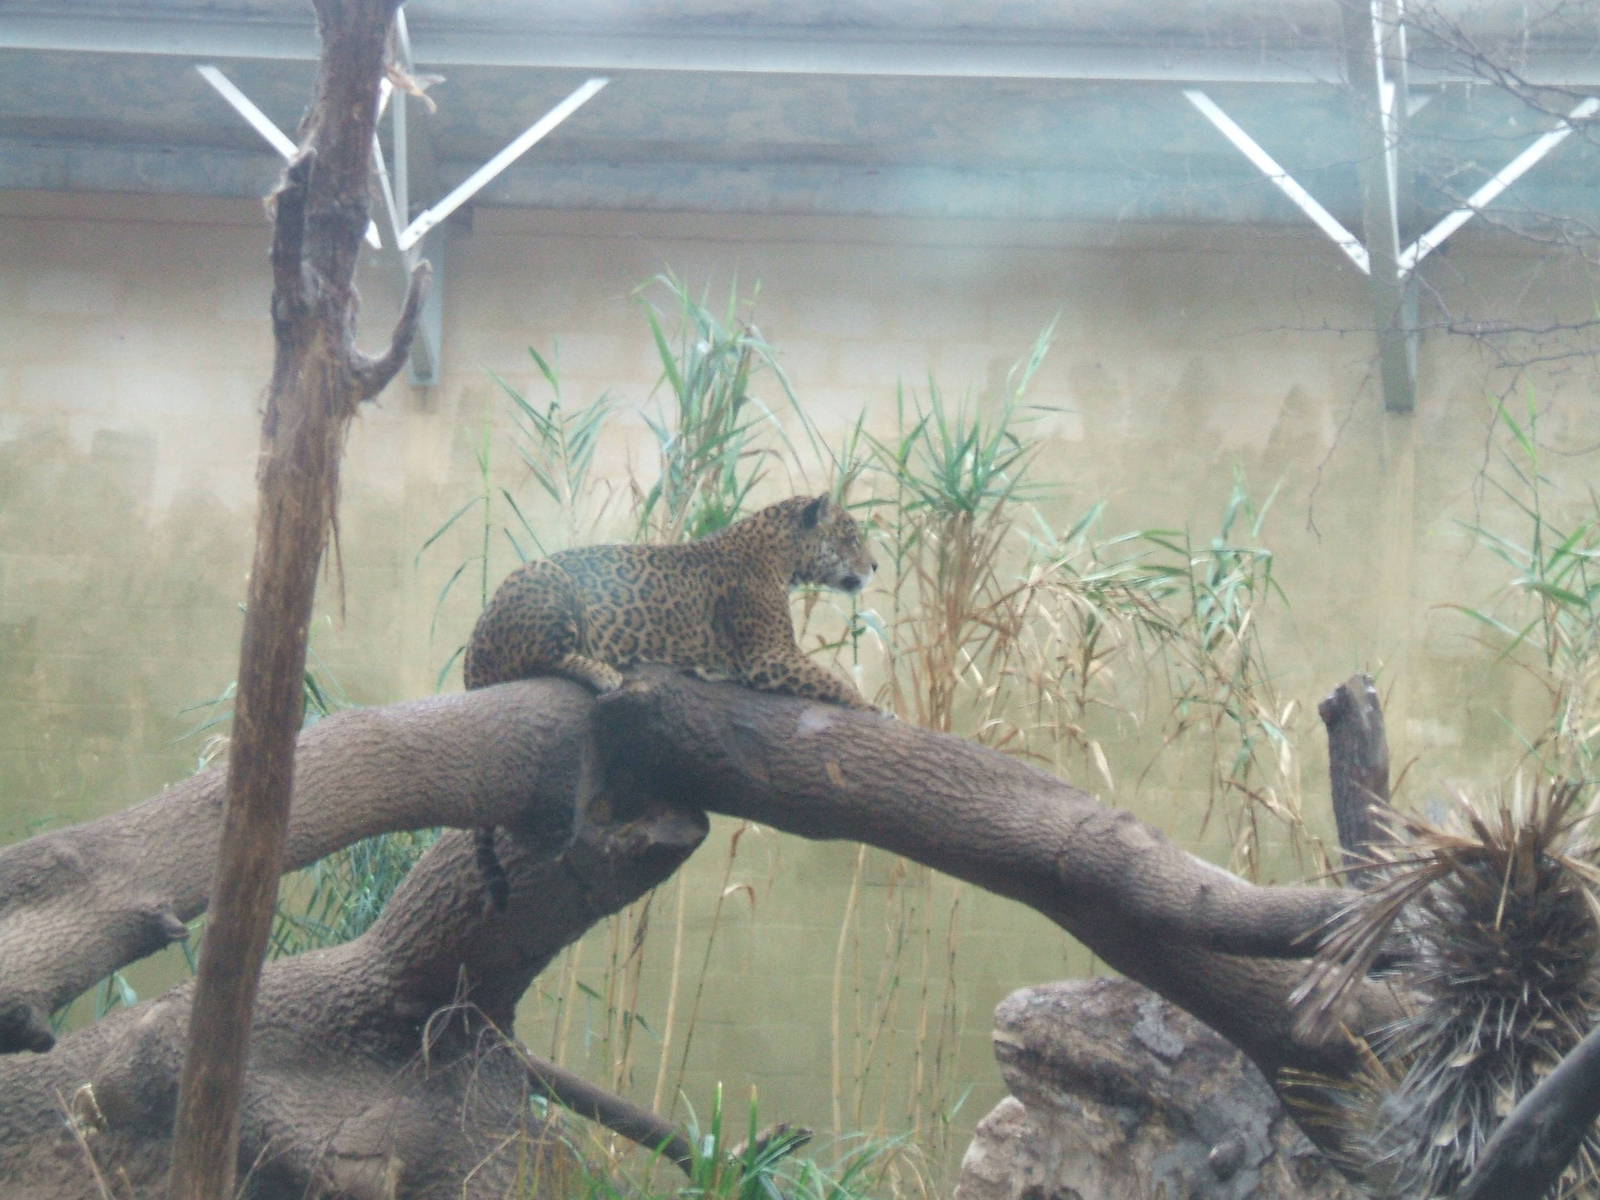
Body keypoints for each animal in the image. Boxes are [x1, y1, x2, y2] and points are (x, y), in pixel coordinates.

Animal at [464, 493, 879, 911]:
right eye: (850, 537)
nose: (875, 566)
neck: (782, 554)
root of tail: (475, 650)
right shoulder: (771, 656)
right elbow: (831, 680)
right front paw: (875, 710)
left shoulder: (774, 656)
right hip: (553, 583)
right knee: (545, 658)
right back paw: (603, 671)